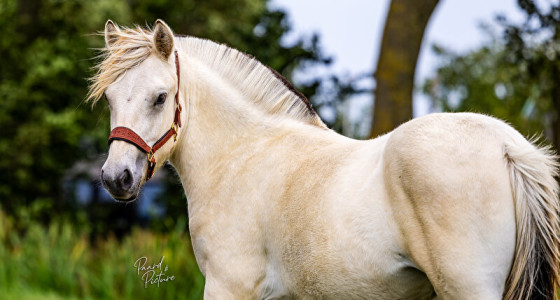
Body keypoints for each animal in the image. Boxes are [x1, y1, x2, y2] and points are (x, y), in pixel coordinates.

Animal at [89, 19, 560, 298]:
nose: (116, 178)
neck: (242, 154)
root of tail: (506, 147)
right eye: (109, 98)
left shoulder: (228, 287)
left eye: (160, 97)